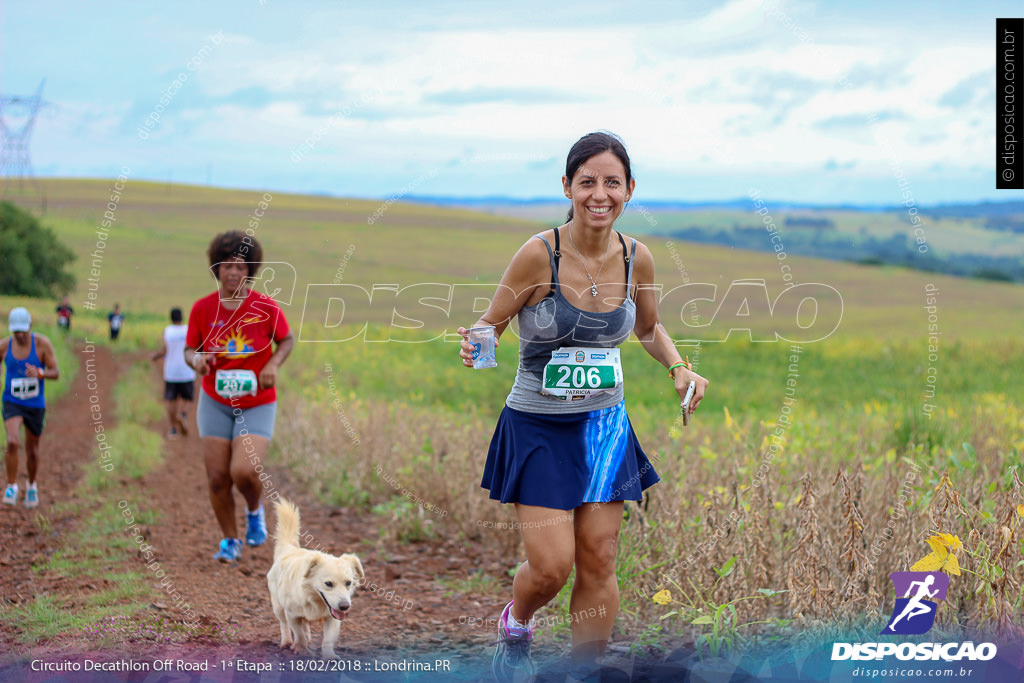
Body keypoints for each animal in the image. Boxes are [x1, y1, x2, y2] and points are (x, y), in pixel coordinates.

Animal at [268, 499, 364, 659]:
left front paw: (329, 657)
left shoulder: (333, 618)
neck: (314, 599)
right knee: (284, 625)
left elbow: (328, 639)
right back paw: (287, 642)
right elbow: (298, 633)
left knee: (305, 625)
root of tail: (289, 549)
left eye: (348, 583)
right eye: (328, 584)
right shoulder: (292, 614)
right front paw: (301, 650)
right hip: (278, 606)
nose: (345, 606)